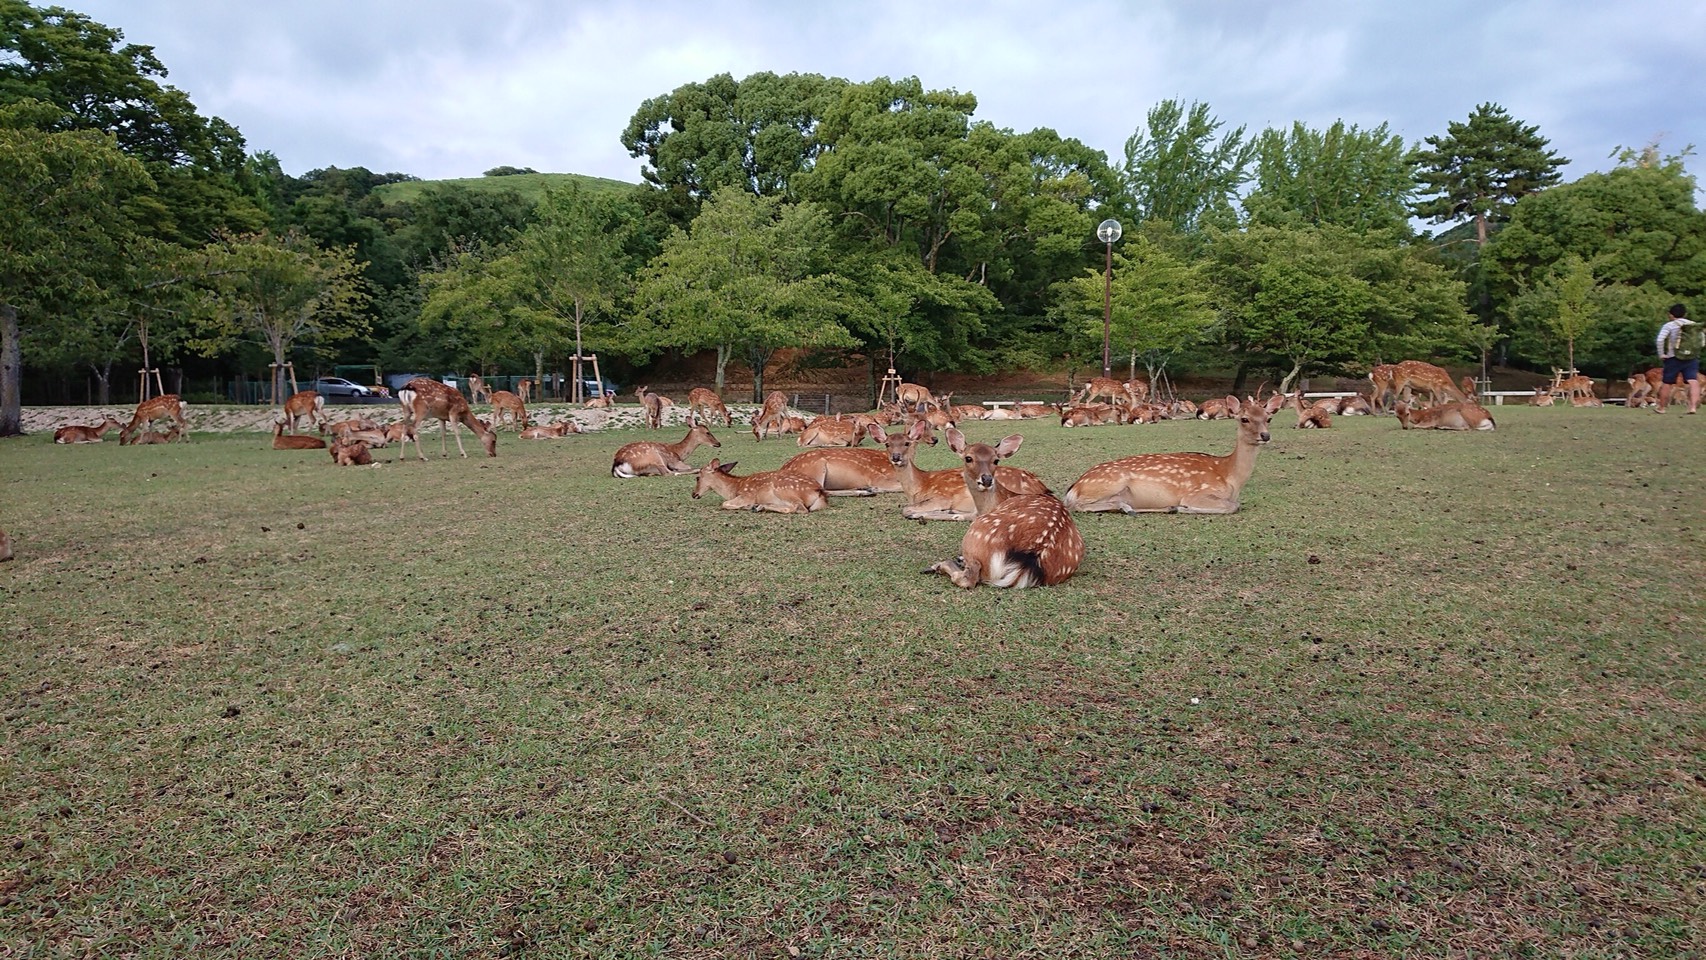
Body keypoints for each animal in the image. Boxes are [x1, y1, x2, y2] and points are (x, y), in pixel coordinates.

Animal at [689, 460, 829, 514]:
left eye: (697, 477)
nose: (693, 494)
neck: (734, 488)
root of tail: (819, 491)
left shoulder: (747, 495)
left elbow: (724, 504)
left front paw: (747, 506)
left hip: (784, 489)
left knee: (798, 508)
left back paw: (758, 507)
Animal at [928, 431, 1085, 589]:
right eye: (968, 458)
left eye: (996, 460)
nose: (986, 479)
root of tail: (1027, 563)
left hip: (976, 532)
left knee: (968, 578)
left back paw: (940, 565)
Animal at [1057, 399, 1276, 518]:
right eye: (1244, 419)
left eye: (1268, 418)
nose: (1265, 435)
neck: (1230, 477)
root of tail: (1074, 487)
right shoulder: (1197, 493)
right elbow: (1234, 506)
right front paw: (1180, 508)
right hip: (1109, 482)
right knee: (1076, 506)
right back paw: (1131, 508)